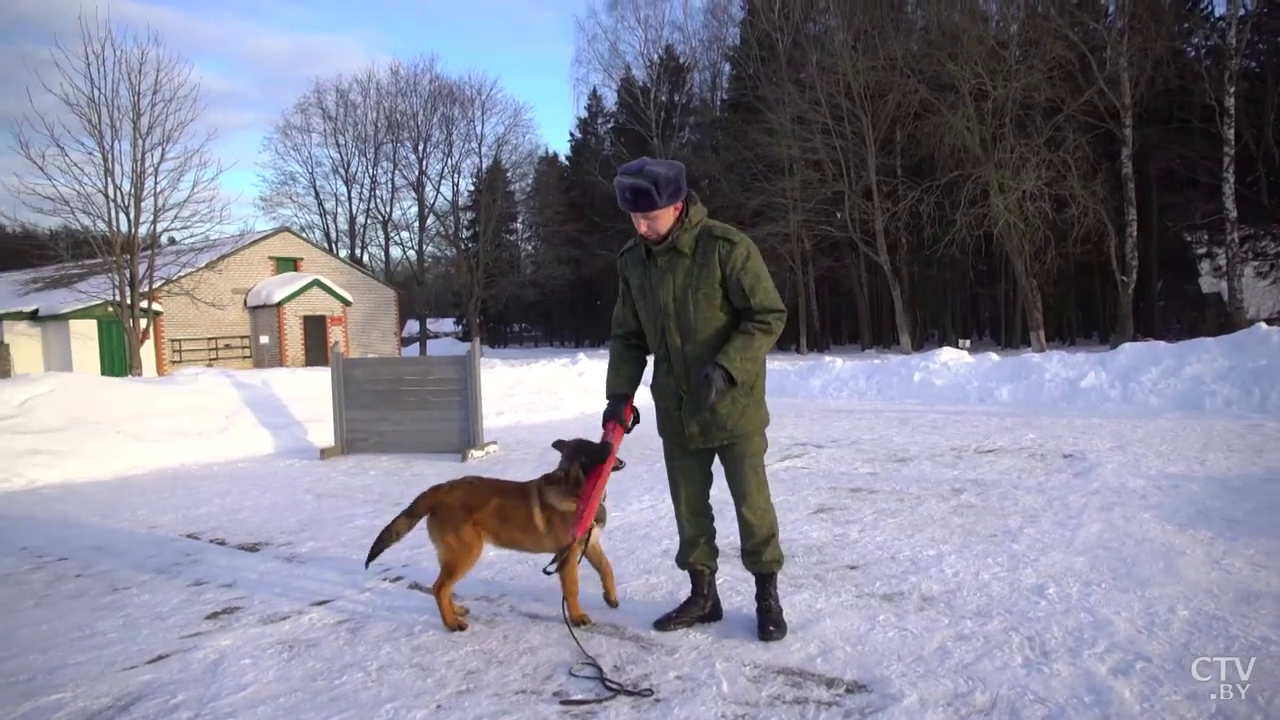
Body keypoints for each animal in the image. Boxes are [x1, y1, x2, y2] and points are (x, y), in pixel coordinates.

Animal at [363, 430, 622, 627]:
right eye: (589, 452)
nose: (610, 443)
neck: (576, 492)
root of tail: (441, 489)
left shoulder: (591, 545)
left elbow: (607, 569)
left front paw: (610, 597)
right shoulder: (567, 556)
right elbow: (572, 589)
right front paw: (577, 617)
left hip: (454, 555)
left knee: (444, 587)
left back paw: (456, 612)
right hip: (466, 552)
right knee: (439, 588)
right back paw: (451, 623)